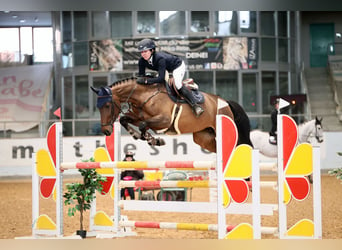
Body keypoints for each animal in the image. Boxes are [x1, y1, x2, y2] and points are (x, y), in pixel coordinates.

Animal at [92, 77, 252, 153]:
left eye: (107, 106)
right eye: (98, 107)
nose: (106, 131)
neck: (145, 95)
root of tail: (225, 102)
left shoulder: (164, 121)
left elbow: (144, 125)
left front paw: (153, 140)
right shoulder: (139, 117)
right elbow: (126, 120)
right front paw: (142, 137)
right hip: (203, 137)